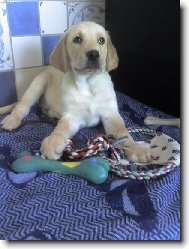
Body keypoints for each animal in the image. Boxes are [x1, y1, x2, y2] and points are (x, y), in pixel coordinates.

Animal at [0, 20, 151, 161]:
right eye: (77, 39)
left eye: (101, 40)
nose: (93, 54)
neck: (89, 85)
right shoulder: (71, 116)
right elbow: (61, 129)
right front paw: (53, 142)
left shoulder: (111, 114)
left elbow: (122, 131)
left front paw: (136, 148)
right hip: (38, 83)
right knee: (23, 106)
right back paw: (12, 120)